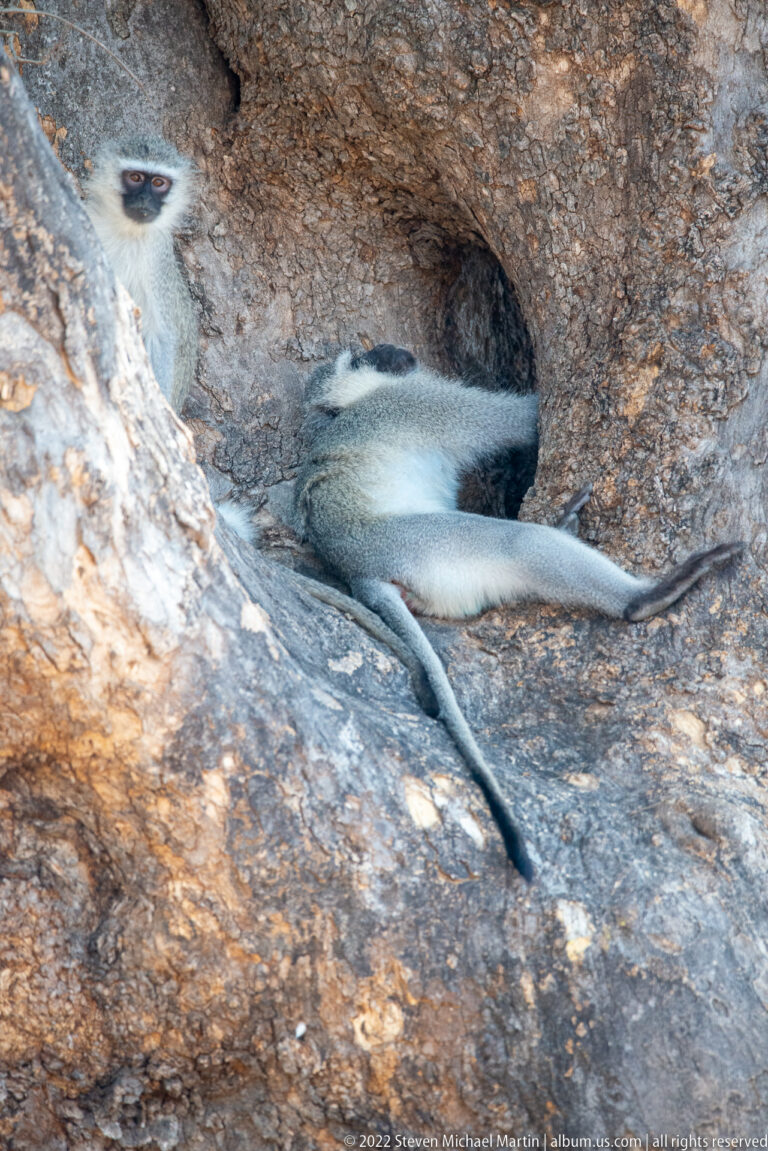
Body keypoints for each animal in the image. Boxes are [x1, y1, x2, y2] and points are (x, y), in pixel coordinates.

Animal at [86, 134, 197, 412]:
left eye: (158, 183)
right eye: (135, 178)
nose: (145, 200)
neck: (127, 231)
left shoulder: (157, 259)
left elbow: (161, 336)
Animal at [294, 344, 744, 880]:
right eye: (372, 355)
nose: (397, 352)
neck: (359, 401)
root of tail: (360, 573)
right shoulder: (420, 402)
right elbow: (520, 419)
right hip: (432, 546)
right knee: (522, 544)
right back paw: (645, 597)